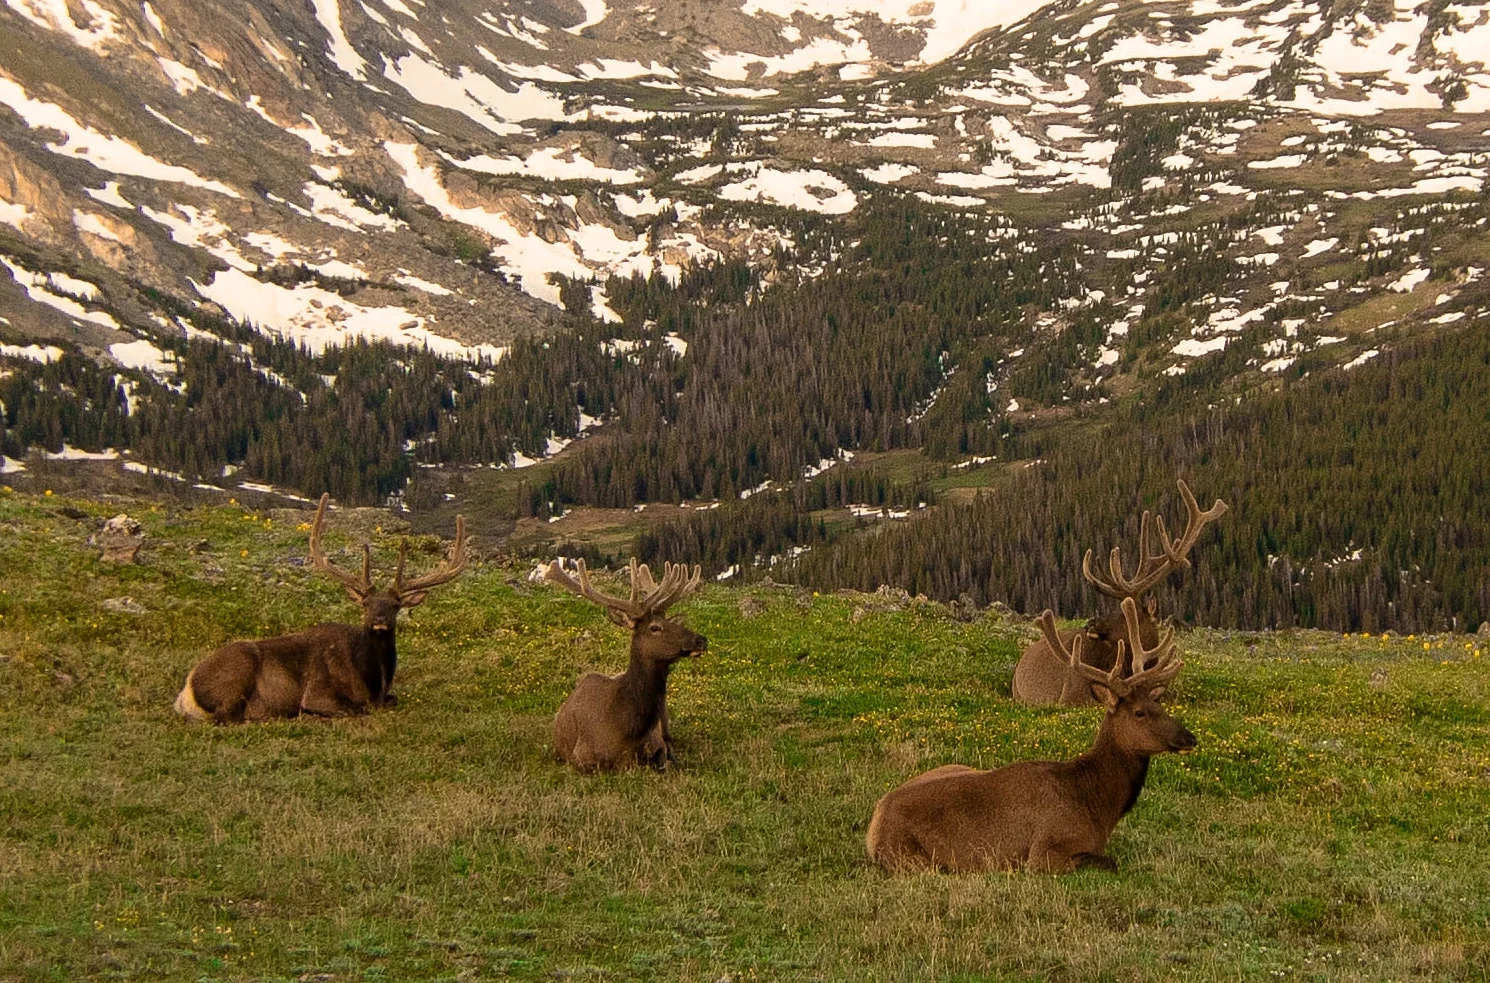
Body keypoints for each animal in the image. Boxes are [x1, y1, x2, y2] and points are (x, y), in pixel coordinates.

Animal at [174, 494, 466, 723]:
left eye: (396, 605)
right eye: (365, 604)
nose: (379, 618)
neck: (374, 681)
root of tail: (186, 692)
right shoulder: (317, 692)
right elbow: (355, 709)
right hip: (238, 673)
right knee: (226, 716)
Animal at [545, 557, 706, 772]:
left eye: (673, 623)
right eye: (655, 627)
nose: (701, 640)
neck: (626, 730)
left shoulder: (657, 744)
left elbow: (662, 758)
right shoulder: (580, 756)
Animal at [867, 596, 1196, 873]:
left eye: (1160, 704)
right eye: (1140, 712)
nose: (1189, 737)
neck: (1096, 806)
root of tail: (875, 823)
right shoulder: (1044, 852)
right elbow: (1107, 861)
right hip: (915, 859)